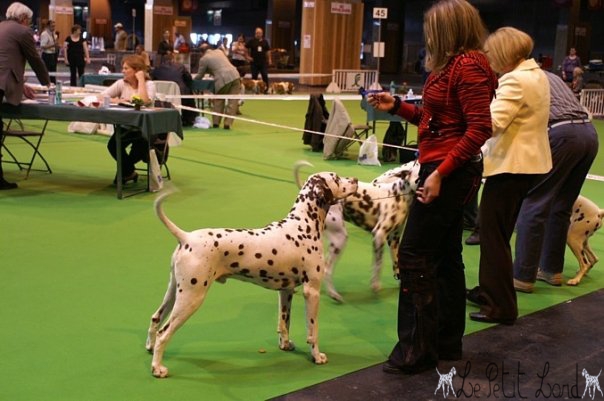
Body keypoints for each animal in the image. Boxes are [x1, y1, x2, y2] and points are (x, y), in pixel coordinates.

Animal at [146, 170, 358, 376]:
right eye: (337, 178)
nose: (355, 179)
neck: (303, 225)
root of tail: (186, 237)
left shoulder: (286, 291)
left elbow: (284, 323)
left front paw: (285, 345)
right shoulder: (311, 292)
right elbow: (313, 330)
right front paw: (317, 356)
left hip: (175, 292)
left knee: (156, 318)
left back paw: (150, 347)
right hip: (191, 298)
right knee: (164, 333)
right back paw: (157, 368)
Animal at [294, 159, 420, 300]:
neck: (397, 195)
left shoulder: (393, 240)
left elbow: (396, 264)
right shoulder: (379, 235)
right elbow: (378, 265)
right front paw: (375, 285)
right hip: (340, 238)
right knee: (327, 269)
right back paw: (333, 294)